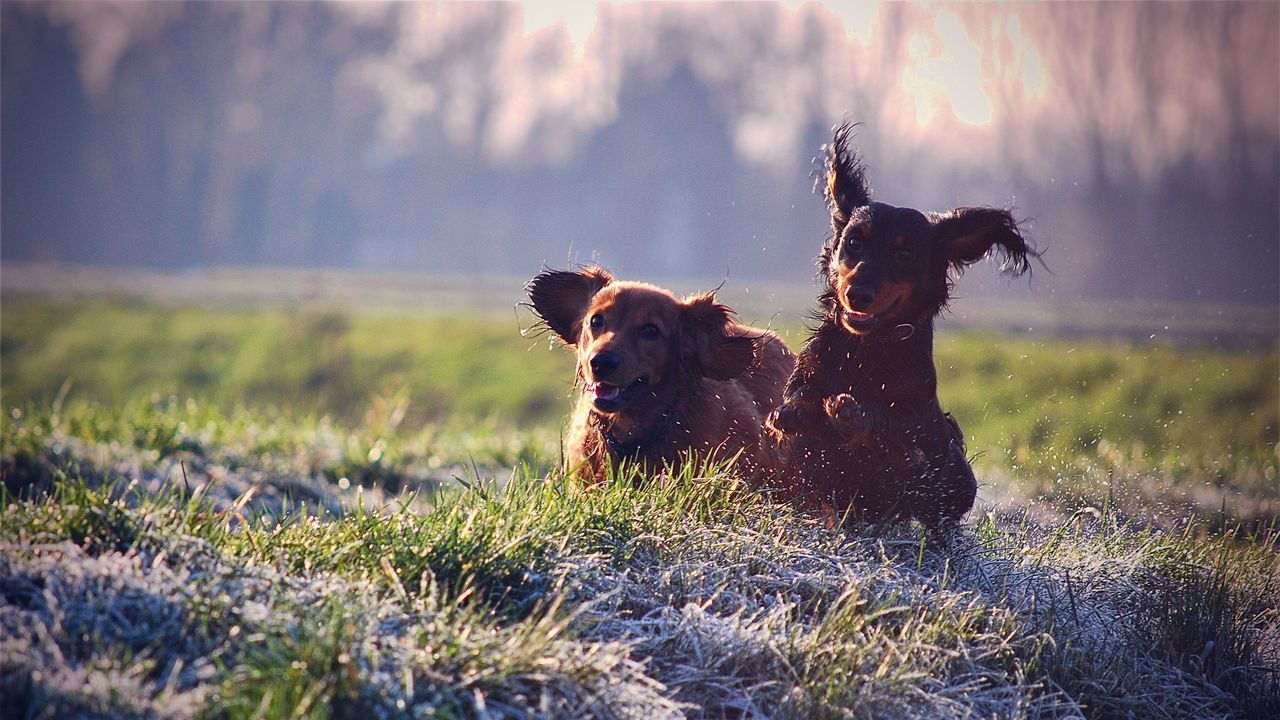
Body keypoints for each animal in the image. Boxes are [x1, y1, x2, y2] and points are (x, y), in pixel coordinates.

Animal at [762, 124, 1034, 520]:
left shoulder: (917, 455)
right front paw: (797, 412)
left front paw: (851, 413)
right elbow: (795, 416)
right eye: (854, 242)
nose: (858, 294)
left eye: (905, 253)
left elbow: (895, 441)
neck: (866, 349)